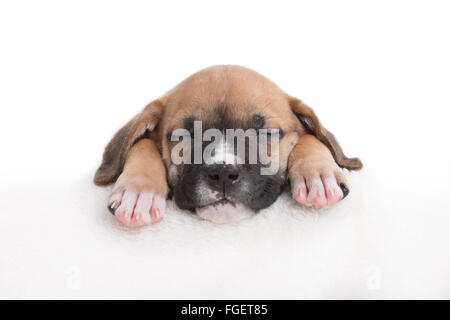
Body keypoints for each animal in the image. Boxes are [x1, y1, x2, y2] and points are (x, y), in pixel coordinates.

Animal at [94, 65, 362, 225]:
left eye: (266, 132)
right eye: (184, 135)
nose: (222, 173)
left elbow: (310, 137)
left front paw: (318, 174)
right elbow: (142, 145)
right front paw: (139, 191)